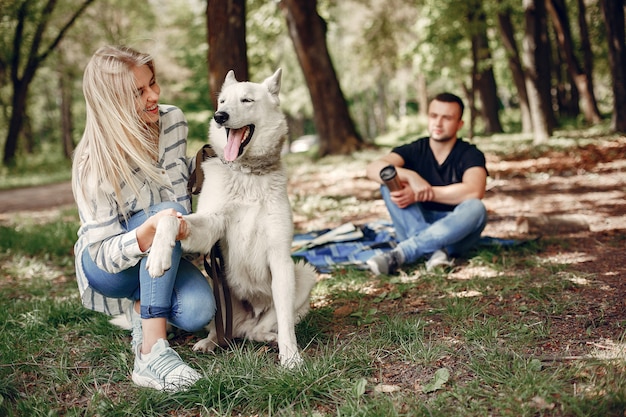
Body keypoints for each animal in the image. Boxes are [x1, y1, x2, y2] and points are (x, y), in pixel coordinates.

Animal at [146, 68, 316, 368]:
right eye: (222, 102)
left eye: (247, 100)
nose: (219, 116)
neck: (247, 174)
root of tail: (243, 324)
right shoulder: (209, 227)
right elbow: (170, 219)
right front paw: (158, 254)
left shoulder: (280, 259)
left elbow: (286, 322)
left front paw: (291, 358)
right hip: (215, 286)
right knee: (222, 328)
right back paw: (210, 341)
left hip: (303, 275)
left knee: (258, 330)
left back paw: (268, 338)